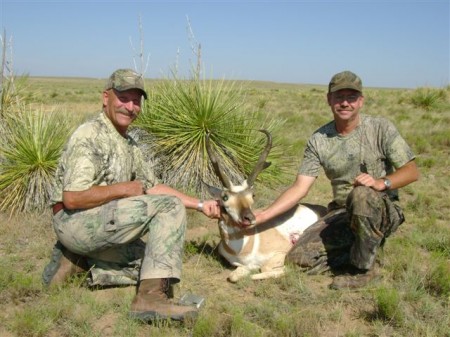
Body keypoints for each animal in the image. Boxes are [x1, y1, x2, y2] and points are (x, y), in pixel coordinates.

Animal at [205, 130, 326, 282]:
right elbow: (233, 276)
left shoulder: (282, 251)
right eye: (225, 197)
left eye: (252, 195)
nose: (249, 218)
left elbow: (264, 269)